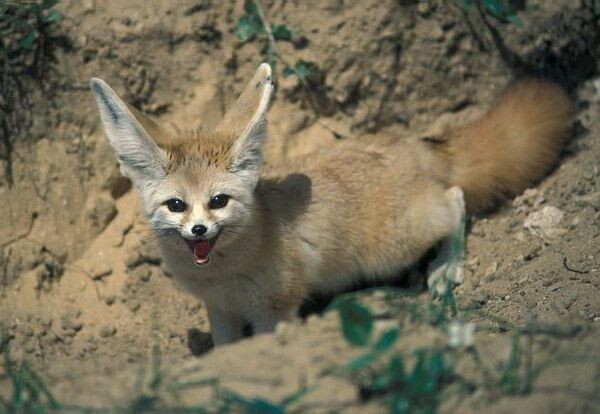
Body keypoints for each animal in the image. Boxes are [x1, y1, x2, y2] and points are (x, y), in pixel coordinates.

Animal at [90, 63, 572, 344]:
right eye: (176, 205)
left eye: (218, 201)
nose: (198, 231)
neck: (222, 275)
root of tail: (411, 145)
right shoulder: (220, 310)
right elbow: (226, 350)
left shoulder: (275, 311)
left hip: (395, 246)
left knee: (455, 201)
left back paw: (445, 266)